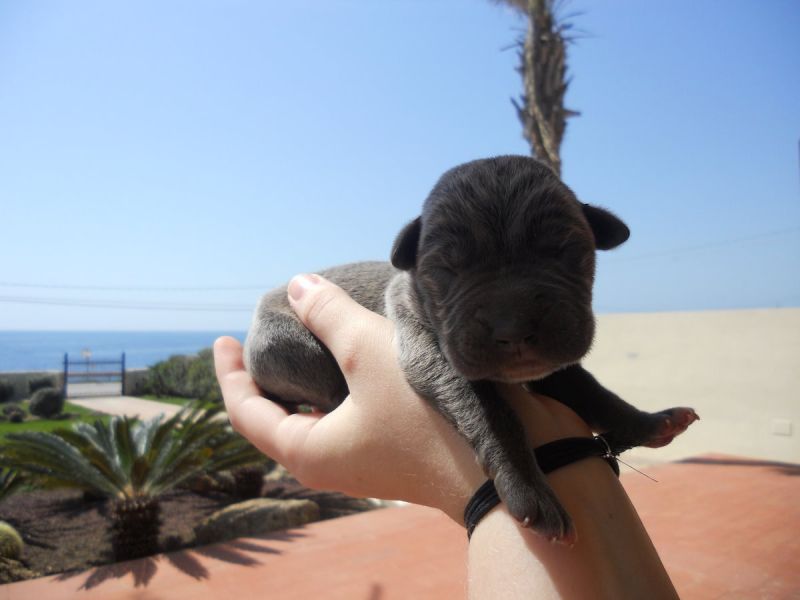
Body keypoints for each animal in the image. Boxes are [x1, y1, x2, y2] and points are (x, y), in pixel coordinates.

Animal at [247, 155, 696, 540]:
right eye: (447, 269)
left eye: (567, 251)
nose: (513, 326)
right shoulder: (428, 350)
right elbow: (489, 411)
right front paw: (527, 485)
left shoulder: (554, 367)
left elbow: (590, 390)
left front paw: (647, 422)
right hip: (287, 342)